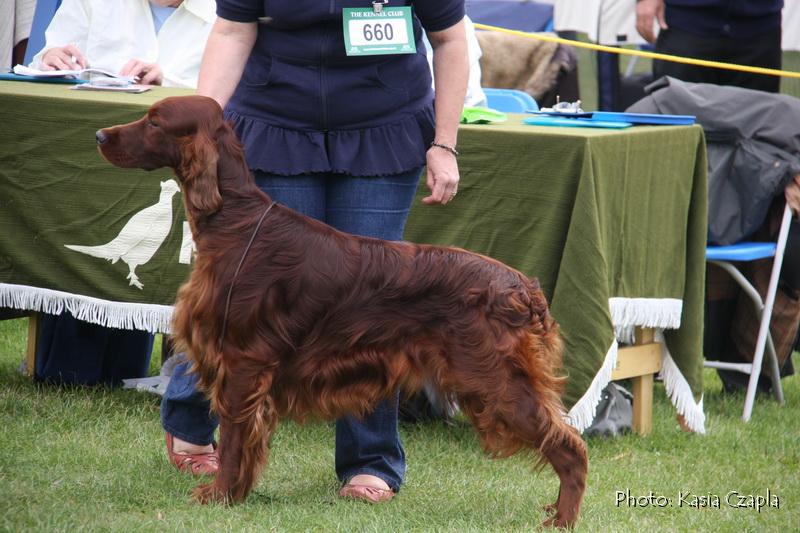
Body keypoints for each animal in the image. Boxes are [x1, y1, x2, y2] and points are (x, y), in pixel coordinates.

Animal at [95, 95, 588, 528]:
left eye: (155, 121)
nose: (100, 134)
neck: (235, 222)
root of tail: (524, 289)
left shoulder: (242, 362)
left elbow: (234, 441)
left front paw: (220, 496)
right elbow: (249, 442)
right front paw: (237, 493)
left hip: (495, 381)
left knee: (571, 448)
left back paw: (561, 521)